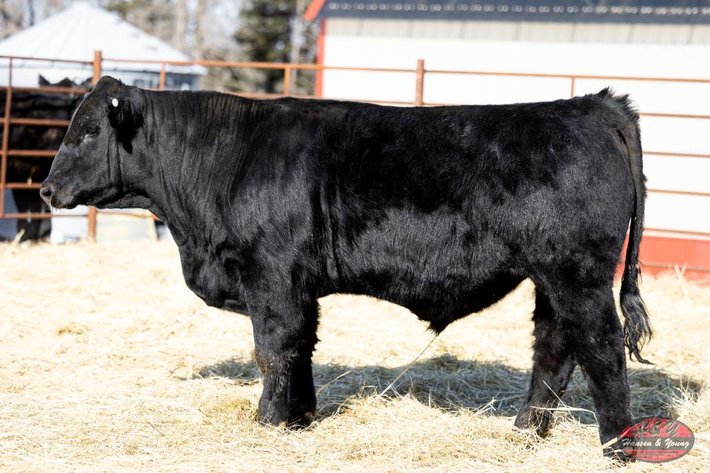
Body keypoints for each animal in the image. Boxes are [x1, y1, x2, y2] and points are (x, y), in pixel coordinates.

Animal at [41, 76, 652, 459]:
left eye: (90, 130)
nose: (46, 190)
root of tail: (592, 105)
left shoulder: (271, 276)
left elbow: (273, 349)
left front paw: (267, 422)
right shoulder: (300, 286)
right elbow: (302, 348)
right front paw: (300, 418)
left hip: (577, 273)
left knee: (602, 349)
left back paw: (620, 447)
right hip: (551, 280)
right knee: (553, 348)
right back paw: (525, 434)